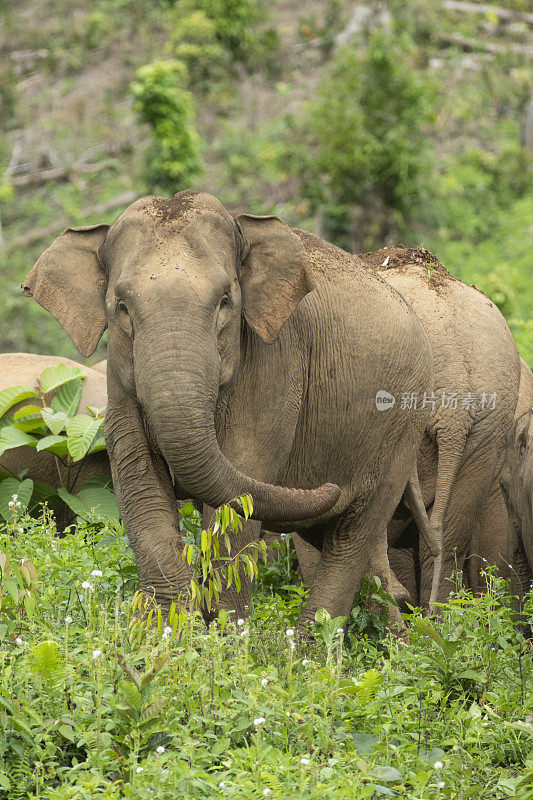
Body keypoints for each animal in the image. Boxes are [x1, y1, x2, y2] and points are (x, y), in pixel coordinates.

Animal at [22, 189, 434, 632]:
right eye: (122, 307)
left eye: (225, 302)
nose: (331, 486)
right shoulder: (119, 377)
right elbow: (139, 480)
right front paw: (169, 632)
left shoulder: (275, 361)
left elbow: (241, 481)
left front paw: (225, 638)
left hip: (401, 429)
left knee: (353, 535)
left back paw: (313, 643)